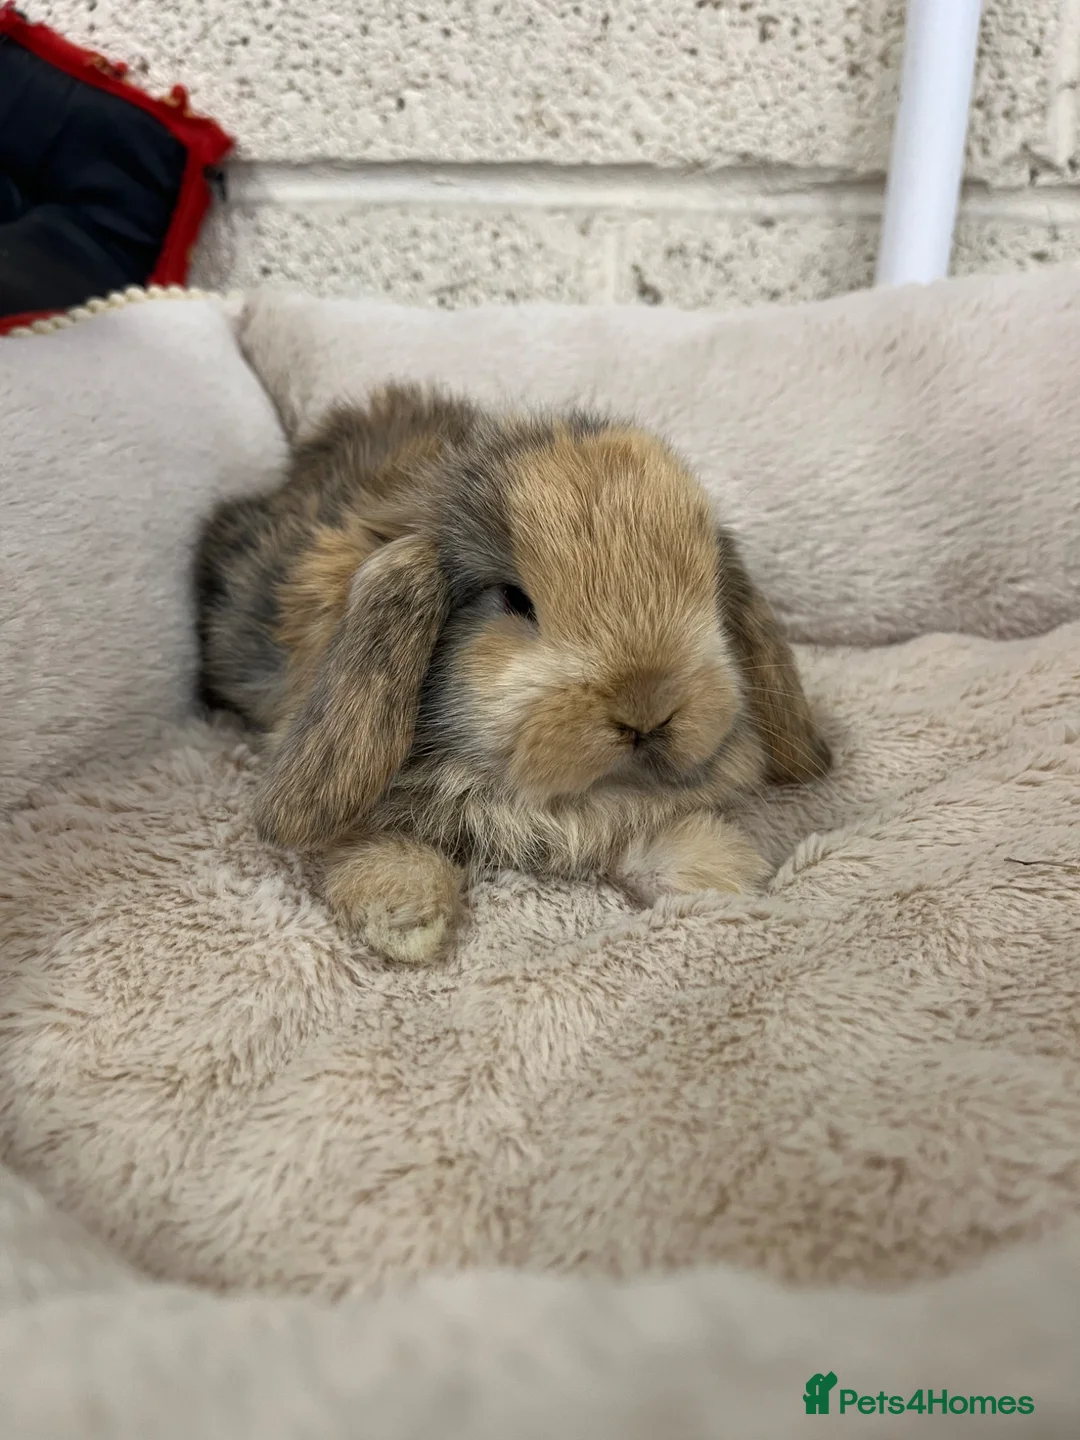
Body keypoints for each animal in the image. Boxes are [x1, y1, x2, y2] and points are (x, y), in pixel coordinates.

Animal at [194, 383, 830, 964]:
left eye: (709, 591)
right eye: (514, 600)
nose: (647, 708)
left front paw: (722, 872)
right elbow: (371, 845)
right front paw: (406, 921)